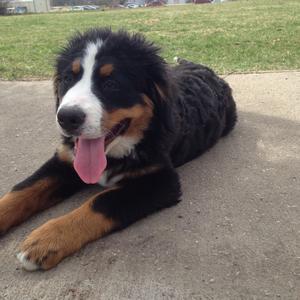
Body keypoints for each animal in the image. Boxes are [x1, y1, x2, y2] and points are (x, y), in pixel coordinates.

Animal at [0, 28, 237, 270]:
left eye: (111, 84)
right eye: (67, 79)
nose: (66, 118)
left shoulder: (160, 180)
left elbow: (100, 202)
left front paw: (46, 239)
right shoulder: (65, 160)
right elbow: (23, 190)